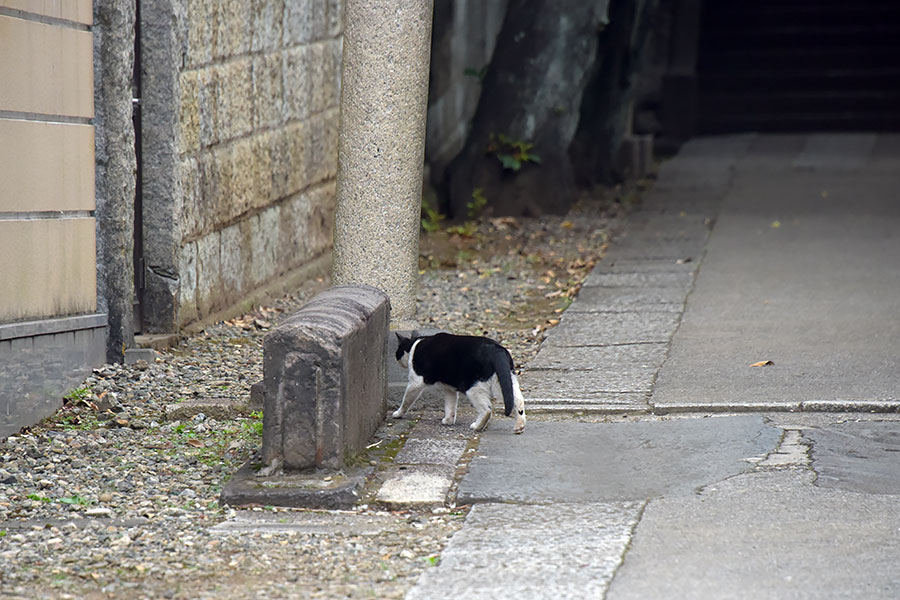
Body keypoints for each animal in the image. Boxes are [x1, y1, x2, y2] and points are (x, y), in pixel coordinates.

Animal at [394, 330, 528, 434]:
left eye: (397, 352)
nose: (397, 359)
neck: (414, 345)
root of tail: (496, 349)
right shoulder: (449, 389)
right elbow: (450, 405)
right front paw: (448, 420)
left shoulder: (415, 382)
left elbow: (406, 401)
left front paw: (398, 414)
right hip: (503, 380)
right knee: (518, 400)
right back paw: (519, 426)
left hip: (474, 387)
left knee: (487, 410)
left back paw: (477, 426)